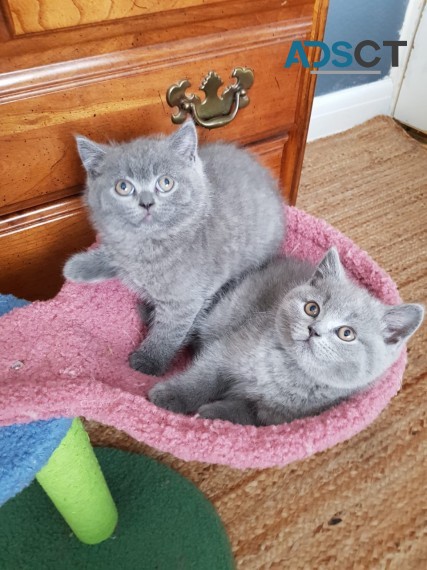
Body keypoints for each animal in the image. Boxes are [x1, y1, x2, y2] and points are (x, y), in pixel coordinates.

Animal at [63, 120, 286, 374]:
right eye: (123, 187)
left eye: (165, 183)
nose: (147, 203)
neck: (149, 246)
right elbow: (115, 256)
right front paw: (78, 266)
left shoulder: (184, 301)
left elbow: (169, 331)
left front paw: (148, 361)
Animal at [149, 246, 422, 424]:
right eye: (312, 308)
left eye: (346, 333)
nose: (314, 330)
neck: (288, 370)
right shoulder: (227, 350)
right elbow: (201, 379)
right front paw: (168, 396)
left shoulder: (274, 416)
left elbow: (245, 414)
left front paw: (211, 414)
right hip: (222, 314)